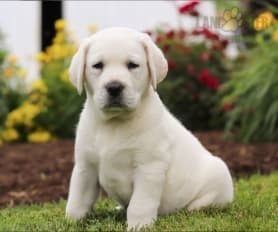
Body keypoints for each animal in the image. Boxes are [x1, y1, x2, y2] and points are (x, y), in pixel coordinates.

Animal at [65, 27, 232, 230]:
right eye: (97, 65)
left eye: (132, 65)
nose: (114, 87)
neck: (114, 123)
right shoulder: (85, 167)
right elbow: (77, 200)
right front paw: (73, 222)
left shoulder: (149, 167)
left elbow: (140, 204)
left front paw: (139, 226)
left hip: (219, 175)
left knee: (207, 202)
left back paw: (191, 208)